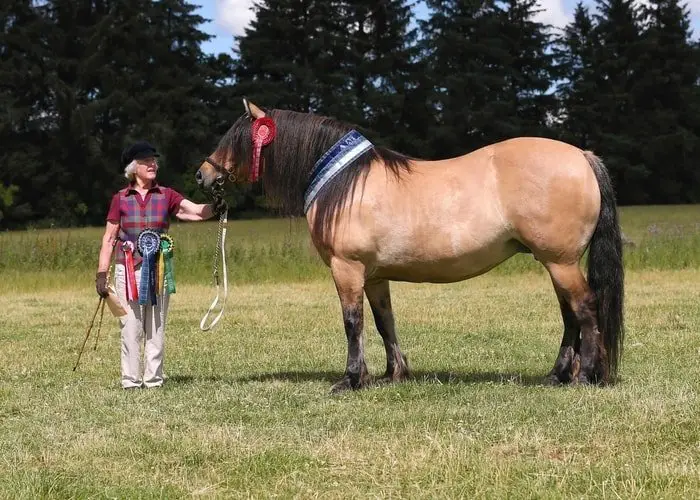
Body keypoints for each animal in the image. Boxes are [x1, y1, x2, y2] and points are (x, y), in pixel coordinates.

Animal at [196, 99, 624, 392]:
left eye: (234, 138)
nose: (203, 175)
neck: (346, 182)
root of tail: (582, 157)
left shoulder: (347, 268)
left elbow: (352, 322)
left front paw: (350, 380)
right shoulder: (373, 276)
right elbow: (384, 321)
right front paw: (393, 373)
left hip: (560, 261)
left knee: (586, 308)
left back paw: (584, 376)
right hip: (555, 262)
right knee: (570, 315)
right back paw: (557, 375)